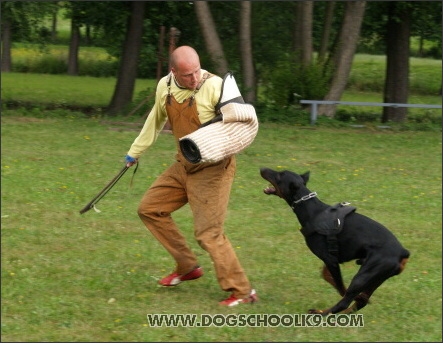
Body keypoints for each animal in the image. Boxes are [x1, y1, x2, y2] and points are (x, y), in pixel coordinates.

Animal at [260, 168, 410, 316]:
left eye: (280, 175)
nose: (262, 169)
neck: (311, 210)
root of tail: (403, 253)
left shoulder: (330, 259)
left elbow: (340, 285)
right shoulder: (332, 259)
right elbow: (328, 276)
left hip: (365, 274)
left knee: (345, 301)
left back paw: (321, 313)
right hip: (376, 277)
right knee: (360, 302)